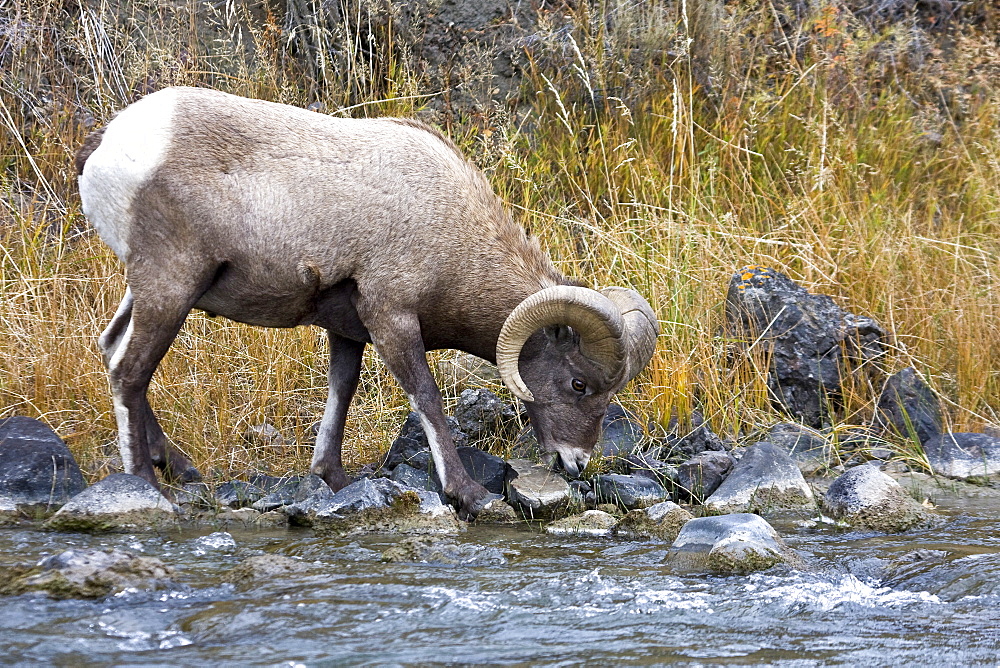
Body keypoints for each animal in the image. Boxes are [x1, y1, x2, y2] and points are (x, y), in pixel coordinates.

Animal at [76, 87, 656, 516]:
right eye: (579, 383)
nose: (576, 464)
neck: (454, 231)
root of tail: (108, 142)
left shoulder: (347, 330)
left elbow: (342, 392)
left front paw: (330, 477)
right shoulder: (391, 318)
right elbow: (427, 397)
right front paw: (468, 495)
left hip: (152, 290)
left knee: (110, 349)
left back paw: (178, 466)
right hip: (170, 285)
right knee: (130, 370)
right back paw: (145, 485)